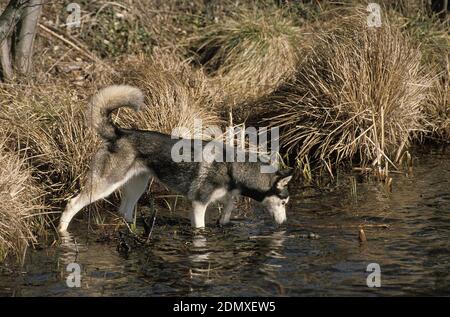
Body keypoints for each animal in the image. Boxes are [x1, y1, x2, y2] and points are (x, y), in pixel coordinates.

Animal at [58, 84, 292, 232]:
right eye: (283, 202)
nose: (284, 223)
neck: (232, 168)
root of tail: (119, 132)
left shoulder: (224, 200)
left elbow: (226, 214)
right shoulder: (198, 204)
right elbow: (201, 228)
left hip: (137, 185)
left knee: (124, 211)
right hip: (106, 184)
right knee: (72, 204)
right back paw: (62, 231)